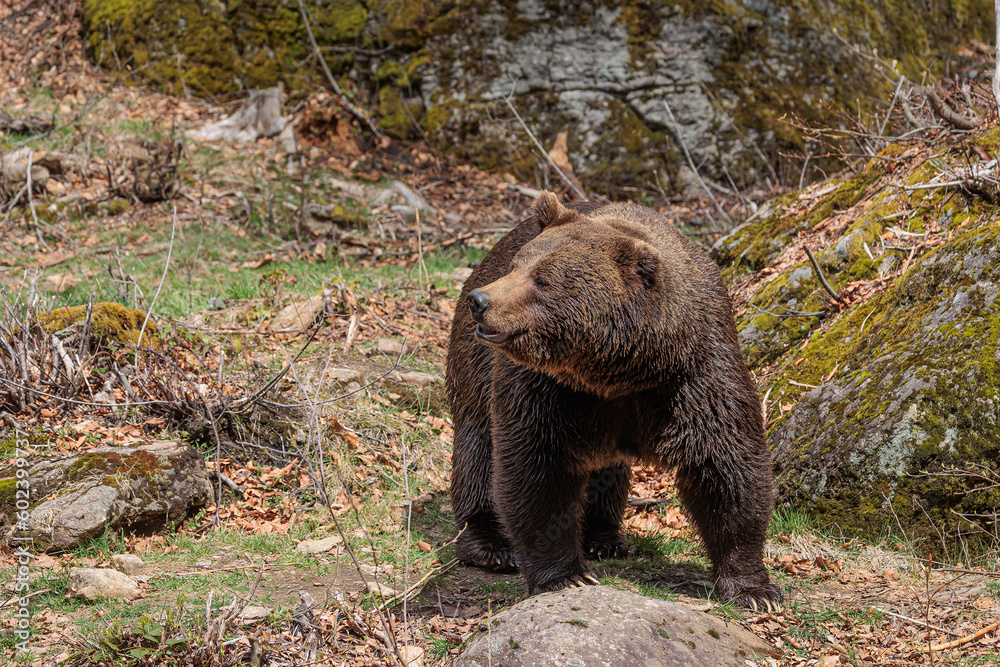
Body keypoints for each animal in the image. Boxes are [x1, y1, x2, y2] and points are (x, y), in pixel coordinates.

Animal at [446, 190, 780, 608]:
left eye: (543, 279)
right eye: (516, 265)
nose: (481, 301)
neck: (619, 371)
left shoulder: (694, 374)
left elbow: (725, 464)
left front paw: (754, 587)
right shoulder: (545, 388)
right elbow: (536, 468)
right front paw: (564, 576)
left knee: (608, 472)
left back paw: (603, 537)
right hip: (473, 369)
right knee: (477, 451)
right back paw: (490, 544)